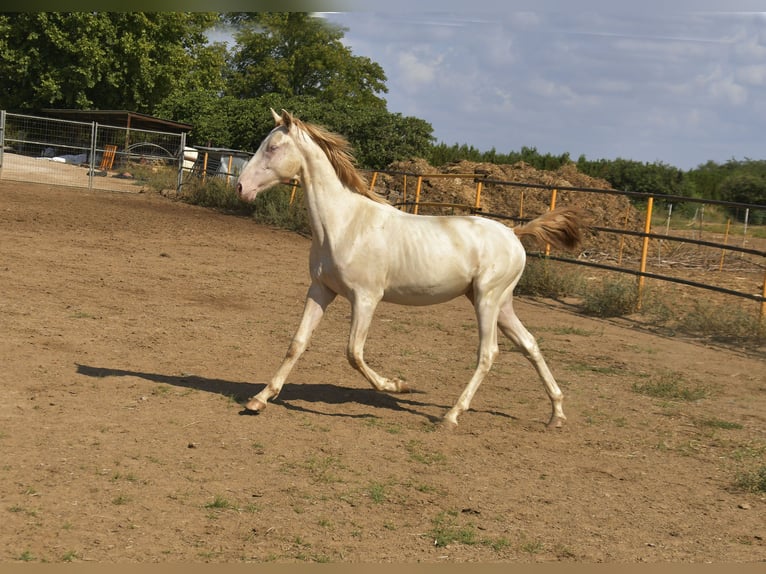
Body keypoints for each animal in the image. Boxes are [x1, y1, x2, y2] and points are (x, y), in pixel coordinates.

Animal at [237, 110, 584, 430]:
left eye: (273, 147)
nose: (241, 187)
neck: (345, 224)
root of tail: (514, 233)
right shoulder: (321, 290)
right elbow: (297, 344)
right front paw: (259, 399)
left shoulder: (366, 298)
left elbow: (354, 352)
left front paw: (397, 385)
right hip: (499, 302)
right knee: (529, 344)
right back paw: (557, 414)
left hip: (488, 300)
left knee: (488, 353)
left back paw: (451, 416)